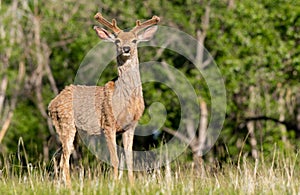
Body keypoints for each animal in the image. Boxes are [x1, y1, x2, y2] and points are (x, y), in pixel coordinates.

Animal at [47, 12, 159, 186]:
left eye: (134, 40)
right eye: (117, 40)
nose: (126, 49)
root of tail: (52, 103)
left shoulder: (130, 126)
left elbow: (129, 159)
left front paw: (132, 185)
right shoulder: (108, 123)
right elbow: (115, 159)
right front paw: (115, 184)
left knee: (60, 157)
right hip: (65, 123)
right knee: (64, 160)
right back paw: (69, 187)